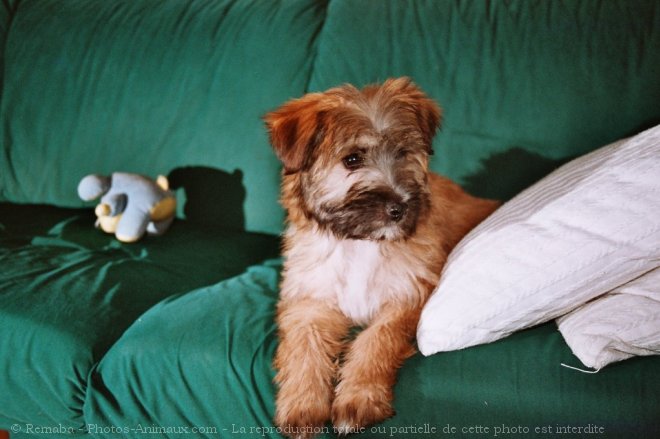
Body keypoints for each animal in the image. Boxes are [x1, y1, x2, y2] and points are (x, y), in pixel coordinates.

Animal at [266, 77, 498, 438]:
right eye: (352, 160)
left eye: (403, 153)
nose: (398, 208)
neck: (360, 243)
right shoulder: (309, 299)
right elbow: (305, 347)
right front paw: (302, 405)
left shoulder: (408, 294)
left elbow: (377, 340)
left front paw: (358, 398)